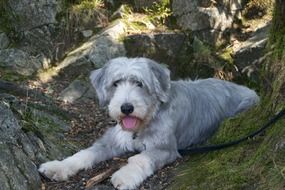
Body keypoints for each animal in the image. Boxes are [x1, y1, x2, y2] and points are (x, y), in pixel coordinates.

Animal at [38, 57, 258, 189]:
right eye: (116, 83)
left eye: (139, 83)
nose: (126, 108)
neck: (144, 122)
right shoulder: (112, 140)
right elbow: (85, 153)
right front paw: (58, 167)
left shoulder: (165, 149)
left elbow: (140, 159)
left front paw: (125, 175)